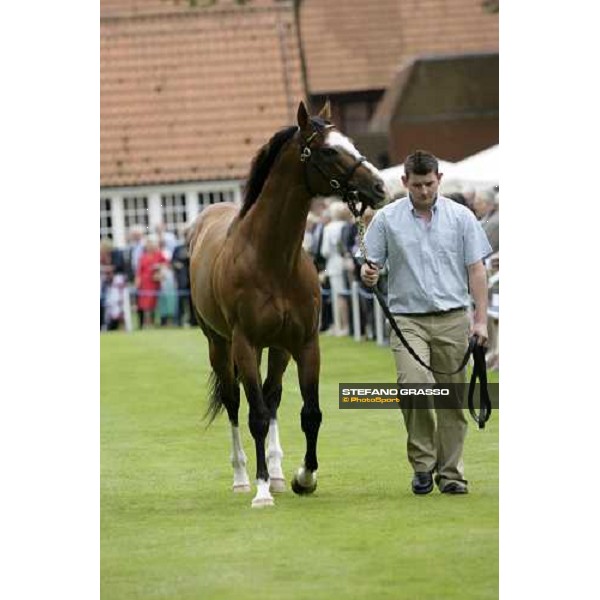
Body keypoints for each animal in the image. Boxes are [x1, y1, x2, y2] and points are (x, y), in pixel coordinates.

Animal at [189, 102, 384, 506]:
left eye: (350, 141)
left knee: (273, 395)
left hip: (277, 348)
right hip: (220, 345)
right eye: (329, 150)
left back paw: (277, 474)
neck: (272, 259)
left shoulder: (306, 343)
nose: (379, 186)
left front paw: (303, 478)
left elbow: (310, 412)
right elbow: (256, 417)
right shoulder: (245, 344)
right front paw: (262, 491)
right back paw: (243, 478)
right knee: (235, 401)